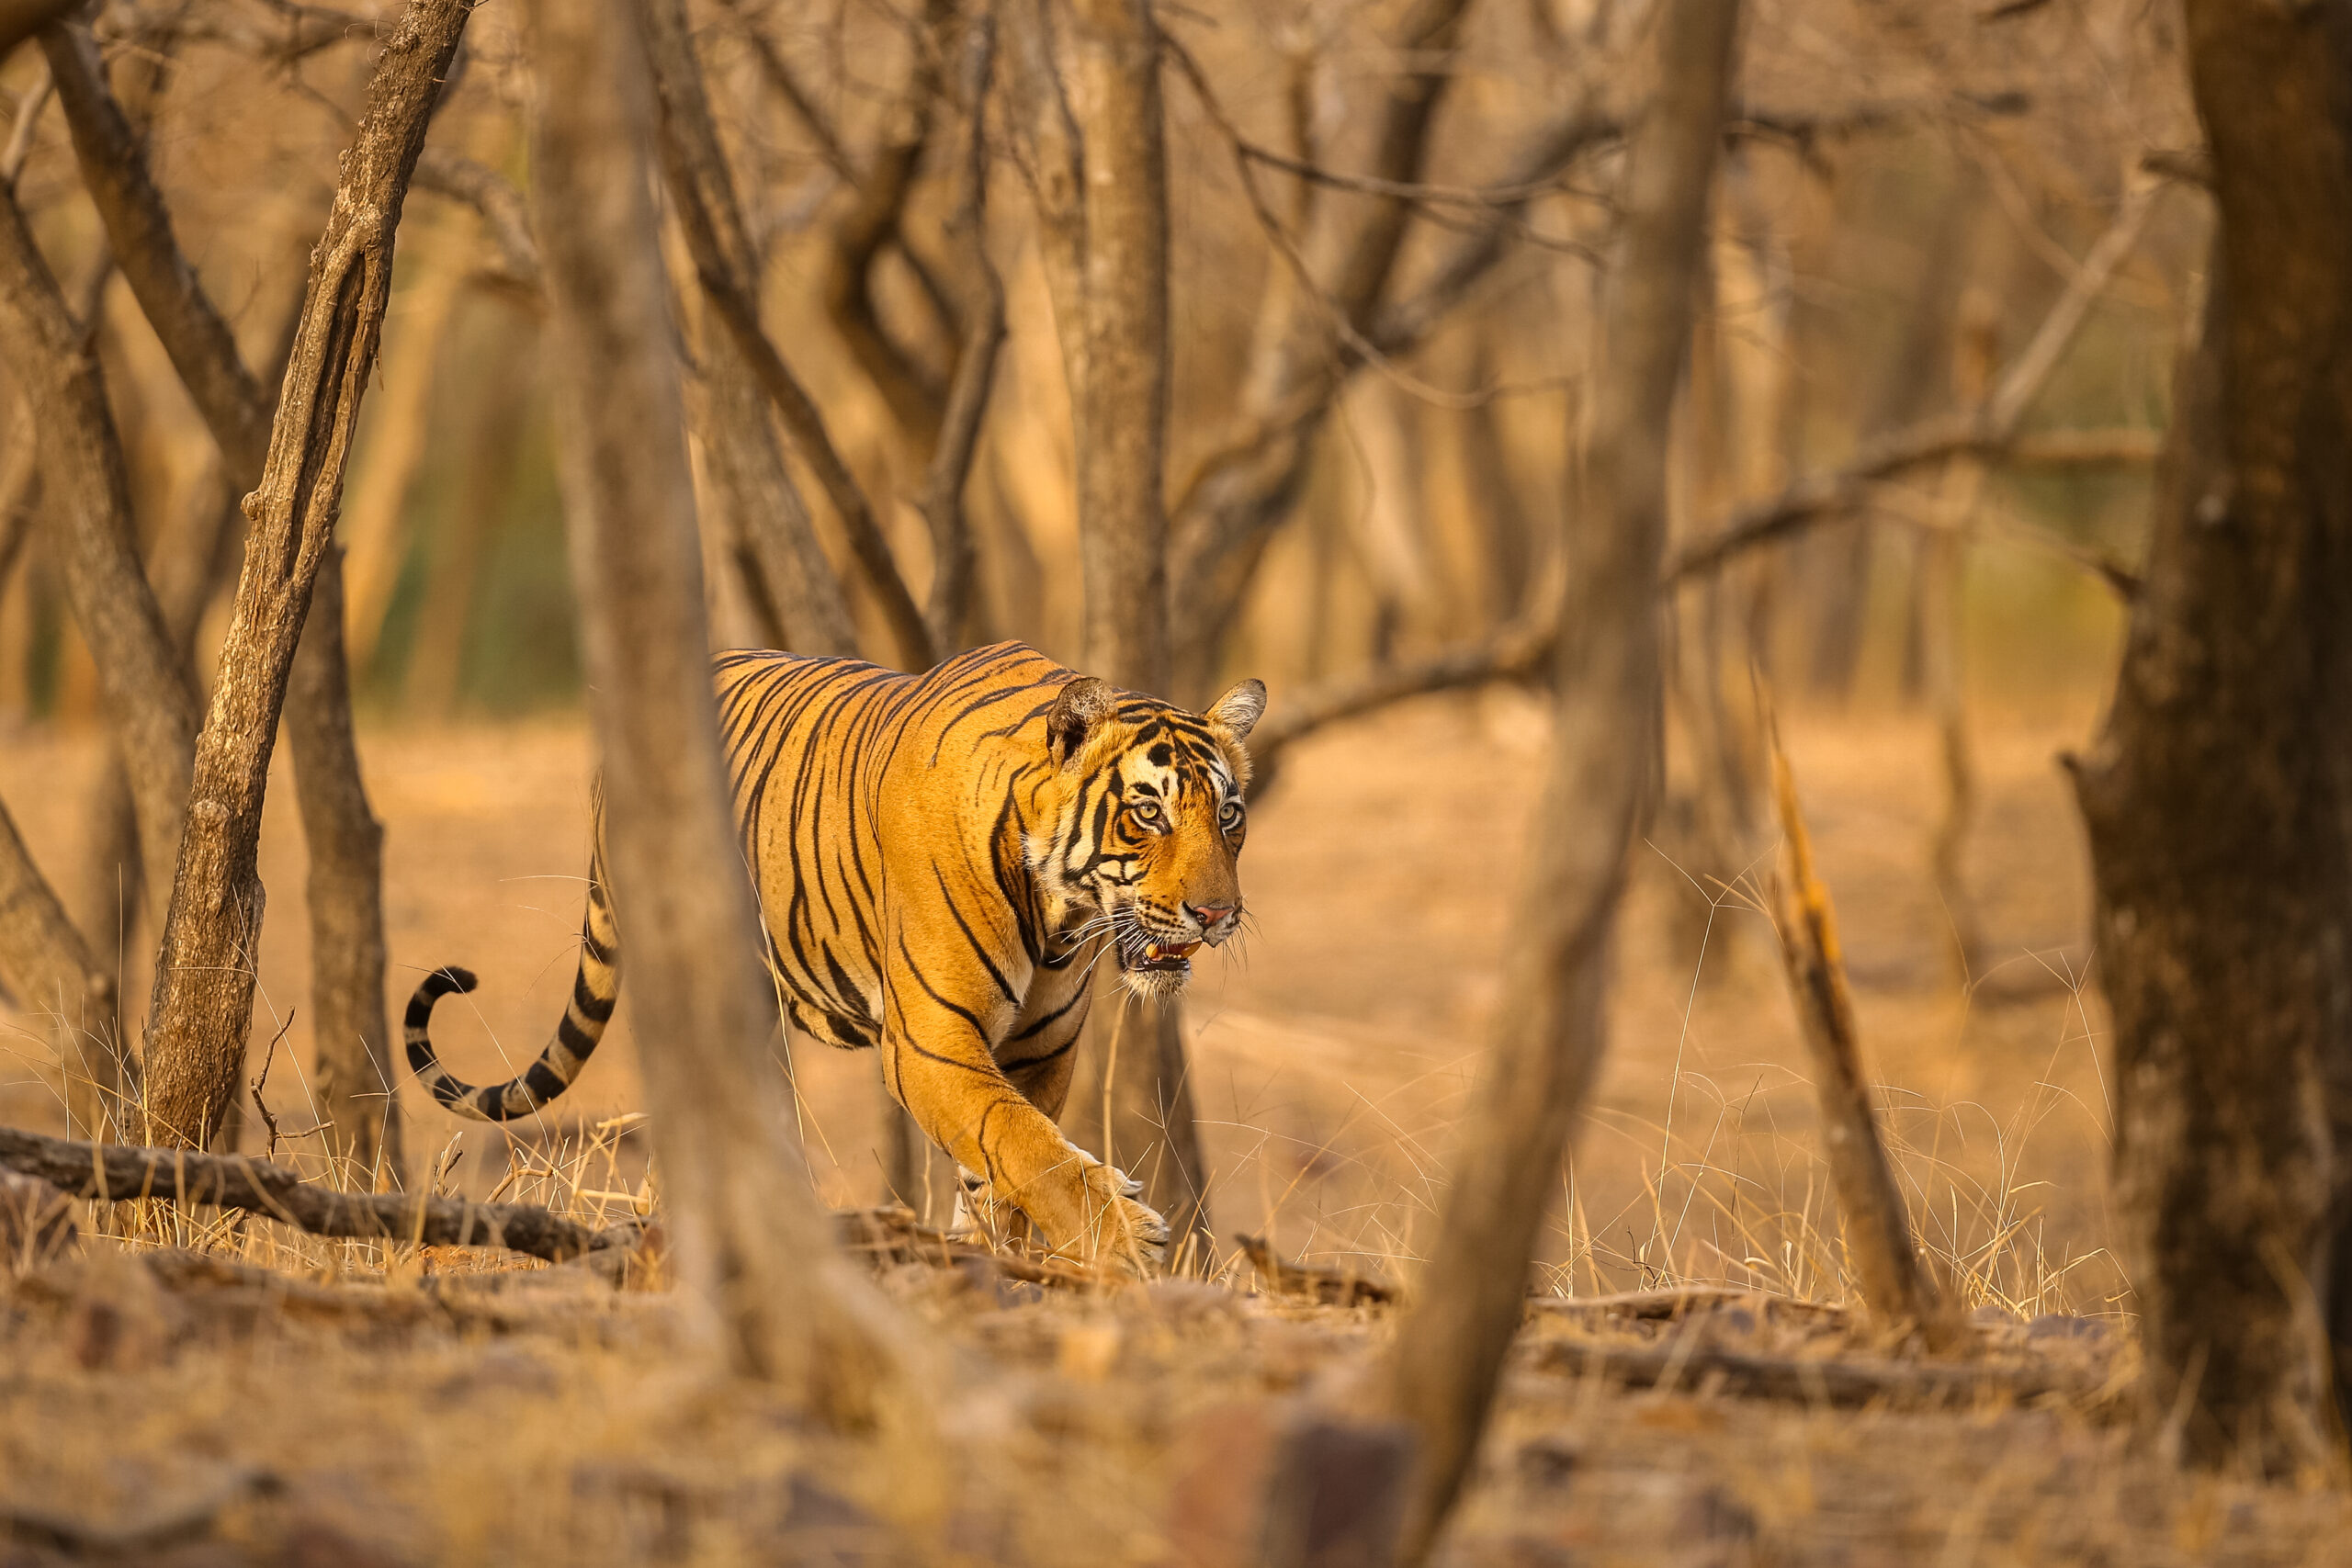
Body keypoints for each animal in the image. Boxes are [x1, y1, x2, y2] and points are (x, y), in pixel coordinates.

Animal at [400, 639, 1270, 1279]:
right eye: (1147, 813)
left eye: (1229, 815)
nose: (1217, 914)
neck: (1062, 915)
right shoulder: (928, 1043)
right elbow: (1028, 1146)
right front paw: (1128, 1238)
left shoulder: (1042, 1048)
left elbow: (1008, 1157)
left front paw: (1000, 1256)